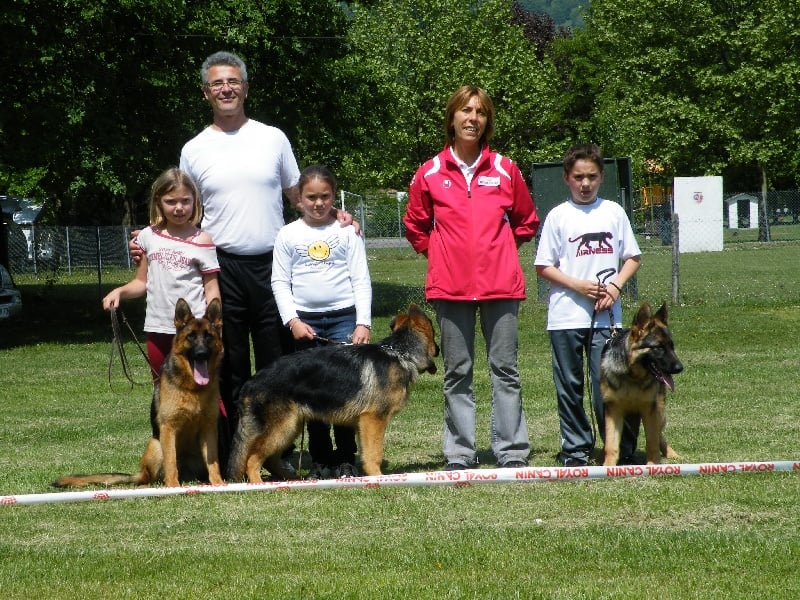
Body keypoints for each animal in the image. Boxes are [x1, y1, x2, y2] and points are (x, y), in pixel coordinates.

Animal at [53, 298, 223, 490]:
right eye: (191, 336)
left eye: (208, 336)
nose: (201, 354)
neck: (193, 388)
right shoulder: (168, 428)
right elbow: (171, 463)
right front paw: (173, 486)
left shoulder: (209, 428)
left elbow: (213, 462)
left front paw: (218, 483)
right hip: (155, 446)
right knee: (149, 478)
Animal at [225, 304, 438, 482]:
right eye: (435, 335)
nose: (438, 349)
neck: (399, 353)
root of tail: (251, 382)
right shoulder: (374, 420)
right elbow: (374, 453)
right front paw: (377, 477)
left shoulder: (364, 424)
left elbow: (366, 451)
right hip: (282, 427)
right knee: (252, 459)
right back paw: (259, 484)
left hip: (290, 427)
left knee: (270, 459)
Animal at [600, 302, 680, 466]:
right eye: (659, 347)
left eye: (672, 346)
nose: (680, 368)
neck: (633, 377)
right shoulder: (613, 410)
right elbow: (611, 444)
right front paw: (608, 466)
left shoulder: (650, 410)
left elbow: (652, 442)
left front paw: (653, 465)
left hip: (660, 412)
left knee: (659, 434)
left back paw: (671, 453)